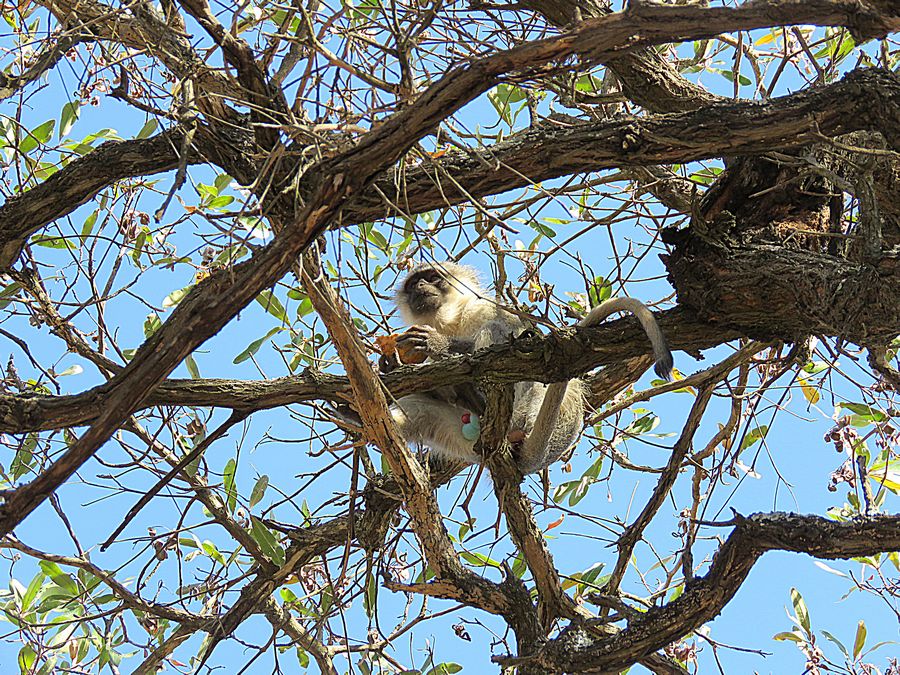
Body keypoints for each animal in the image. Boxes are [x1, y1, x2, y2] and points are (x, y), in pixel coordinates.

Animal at [384, 262, 672, 472]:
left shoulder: (486, 310)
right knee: (418, 405)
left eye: (433, 277)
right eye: (412, 284)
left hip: (521, 410)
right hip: (458, 435)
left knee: (498, 341)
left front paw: (436, 343)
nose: (420, 285)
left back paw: (480, 399)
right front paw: (389, 364)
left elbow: (513, 339)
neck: (450, 320)